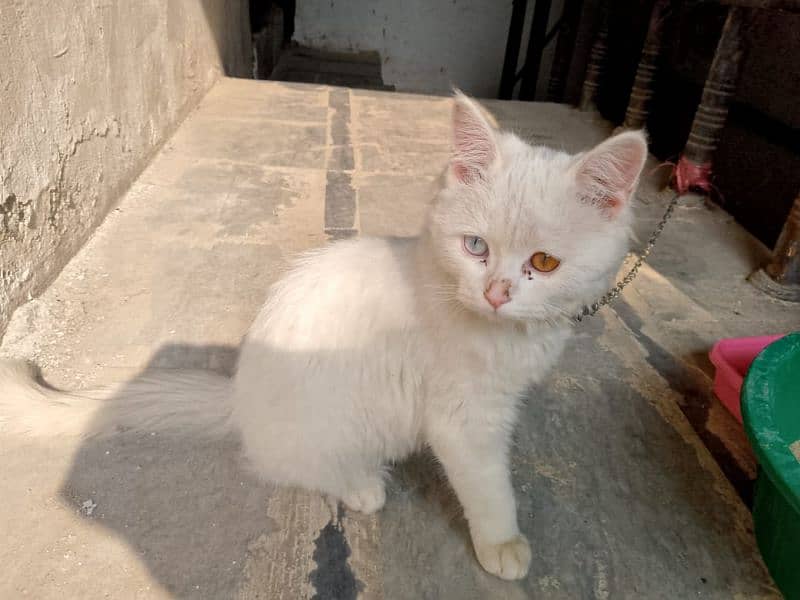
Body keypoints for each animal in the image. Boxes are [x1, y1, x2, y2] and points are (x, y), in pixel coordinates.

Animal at [0, 95, 648, 580]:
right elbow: (489, 486)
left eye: (544, 262)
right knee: (285, 465)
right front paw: (502, 544)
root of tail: (239, 394)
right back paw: (361, 486)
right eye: (475, 247)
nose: (496, 292)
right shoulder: (463, 419)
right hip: (335, 423)